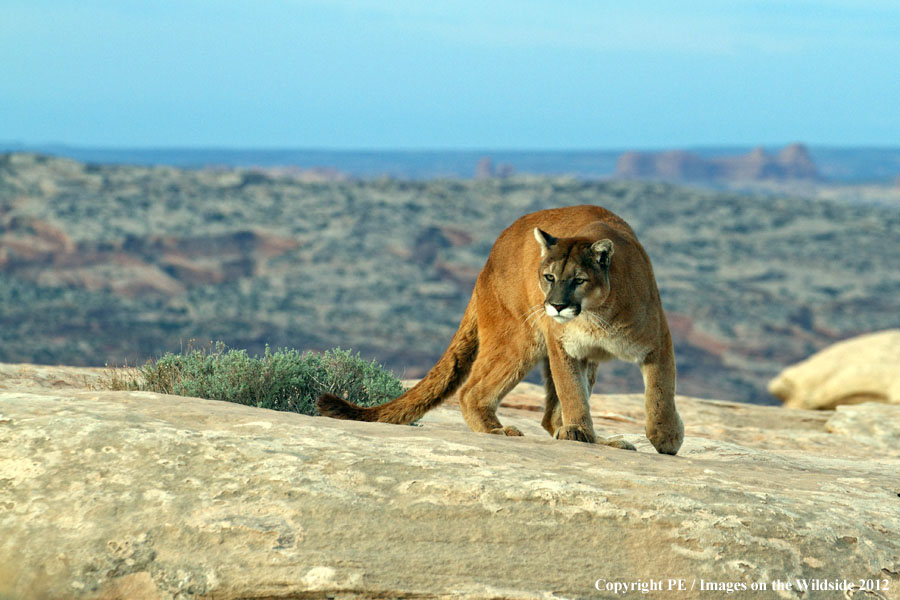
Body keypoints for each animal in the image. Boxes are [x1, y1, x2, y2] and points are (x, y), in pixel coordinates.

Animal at [320, 206, 684, 454]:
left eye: (579, 280)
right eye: (549, 277)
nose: (556, 306)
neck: (595, 315)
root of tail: (488, 261)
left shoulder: (657, 341)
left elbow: (660, 392)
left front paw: (665, 437)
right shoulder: (562, 346)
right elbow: (571, 392)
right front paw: (580, 431)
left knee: (549, 417)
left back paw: (603, 440)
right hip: (518, 339)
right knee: (472, 391)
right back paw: (499, 431)